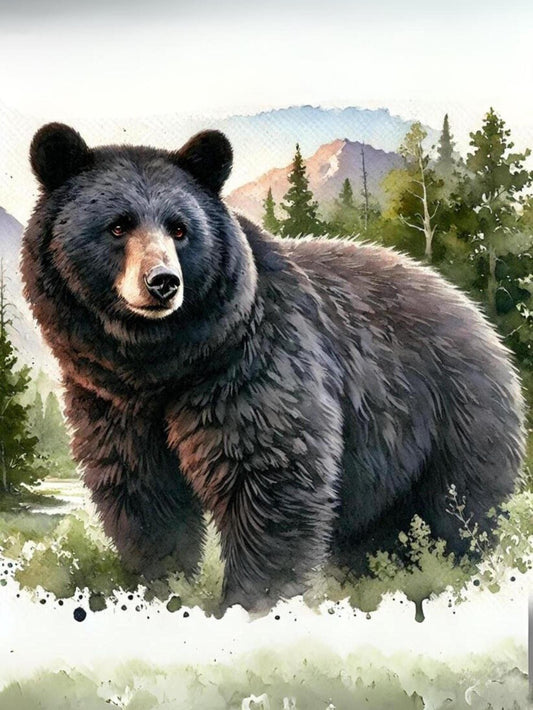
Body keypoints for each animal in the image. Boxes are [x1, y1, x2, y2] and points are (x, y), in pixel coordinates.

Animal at [21, 123, 525, 611]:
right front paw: (160, 586)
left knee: (456, 514)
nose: (163, 282)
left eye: (180, 229)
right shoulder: (110, 401)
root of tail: (473, 314)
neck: (161, 365)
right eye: (118, 225)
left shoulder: (252, 368)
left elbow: (270, 479)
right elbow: (143, 496)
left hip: (454, 422)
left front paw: (252, 600)